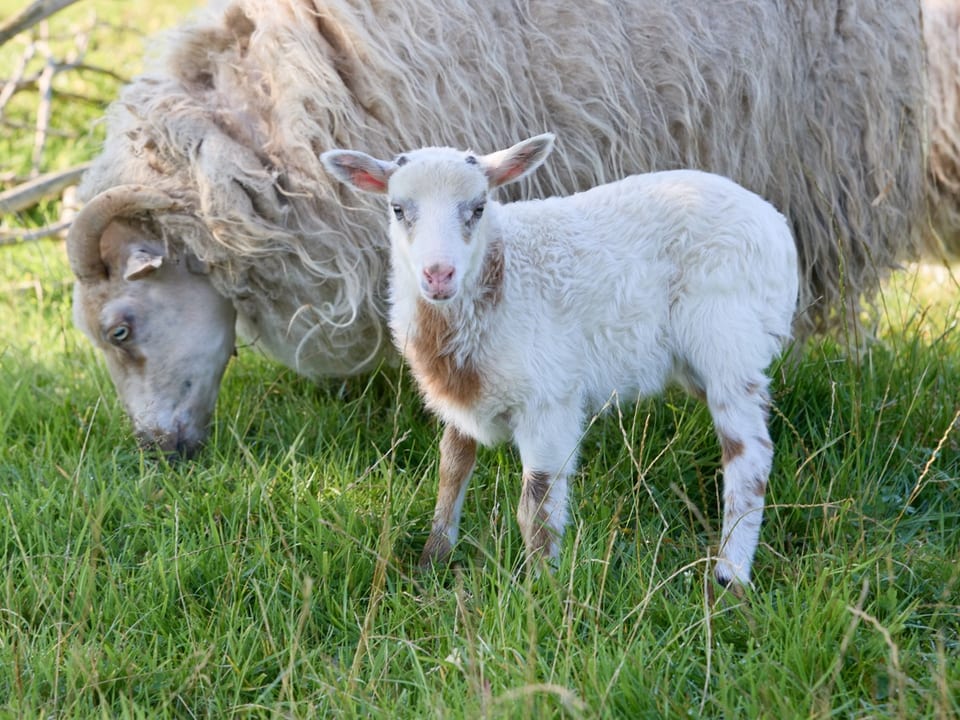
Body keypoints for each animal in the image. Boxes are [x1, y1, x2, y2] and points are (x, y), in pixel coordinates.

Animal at [322, 134, 804, 584]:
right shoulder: (462, 394)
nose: (438, 274)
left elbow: (534, 505)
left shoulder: (549, 399)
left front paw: (541, 587)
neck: (499, 279)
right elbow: (451, 470)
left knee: (749, 455)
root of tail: (776, 226)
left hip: (727, 336)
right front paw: (432, 561)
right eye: (398, 209)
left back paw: (729, 575)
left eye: (478, 207)